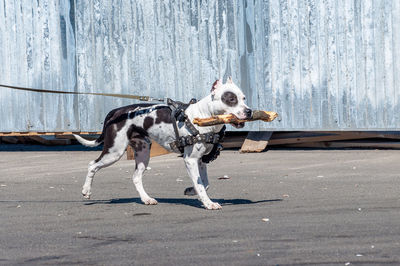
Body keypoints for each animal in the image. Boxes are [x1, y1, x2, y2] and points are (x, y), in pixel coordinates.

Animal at [73, 78, 252, 211]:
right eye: (231, 99)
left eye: (244, 98)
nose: (249, 111)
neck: (204, 116)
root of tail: (116, 112)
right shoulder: (190, 160)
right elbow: (201, 185)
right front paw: (208, 203)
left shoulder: (200, 161)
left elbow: (204, 183)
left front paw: (191, 191)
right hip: (114, 151)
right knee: (92, 165)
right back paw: (86, 191)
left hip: (143, 153)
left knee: (136, 177)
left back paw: (146, 199)